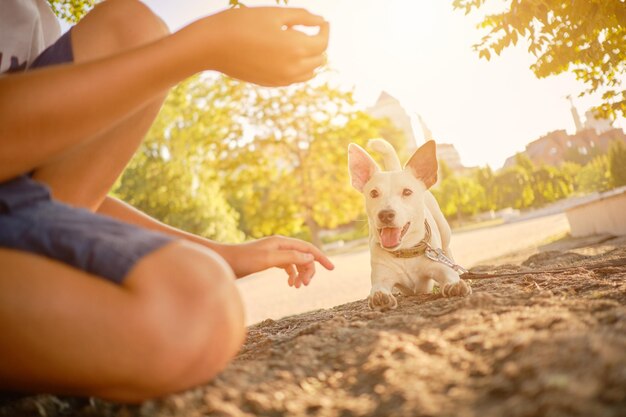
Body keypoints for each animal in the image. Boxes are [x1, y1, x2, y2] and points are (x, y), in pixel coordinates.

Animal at [346, 139, 468, 308]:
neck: (405, 252)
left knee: (447, 251)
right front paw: (379, 297)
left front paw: (454, 284)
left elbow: (448, 274)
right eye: (374, 193)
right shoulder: (381, 276)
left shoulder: (438, 267)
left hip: (444, 231)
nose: (385, 214)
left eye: (407, 192)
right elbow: (378, 288)